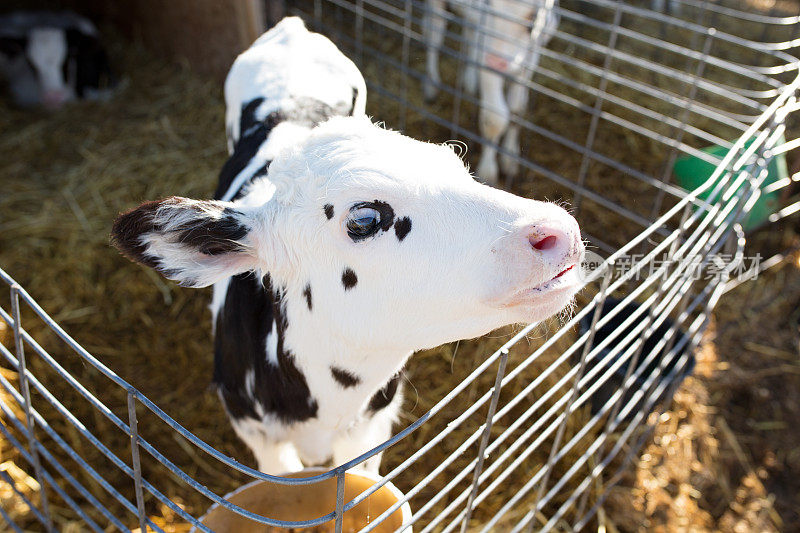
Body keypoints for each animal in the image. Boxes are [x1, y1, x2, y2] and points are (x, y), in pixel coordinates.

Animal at [112, 16, 584, 474]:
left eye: (459, 168)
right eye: (365, 218)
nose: (558, 231)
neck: (332, 399)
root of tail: (293, 27)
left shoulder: (371, 431)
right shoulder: (258, 436)